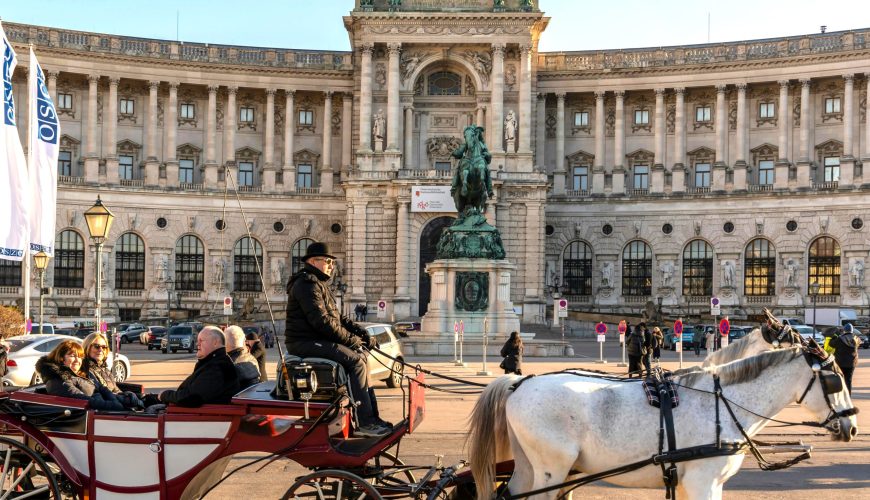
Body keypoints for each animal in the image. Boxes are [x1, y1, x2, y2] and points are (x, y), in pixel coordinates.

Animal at [470, 346, 860, 498]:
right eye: (835, 380)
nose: (853, 427)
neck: (721, 404)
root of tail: (521, 381)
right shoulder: (704, 482)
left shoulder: (694, 483)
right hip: (552, 471)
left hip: (531, 467)